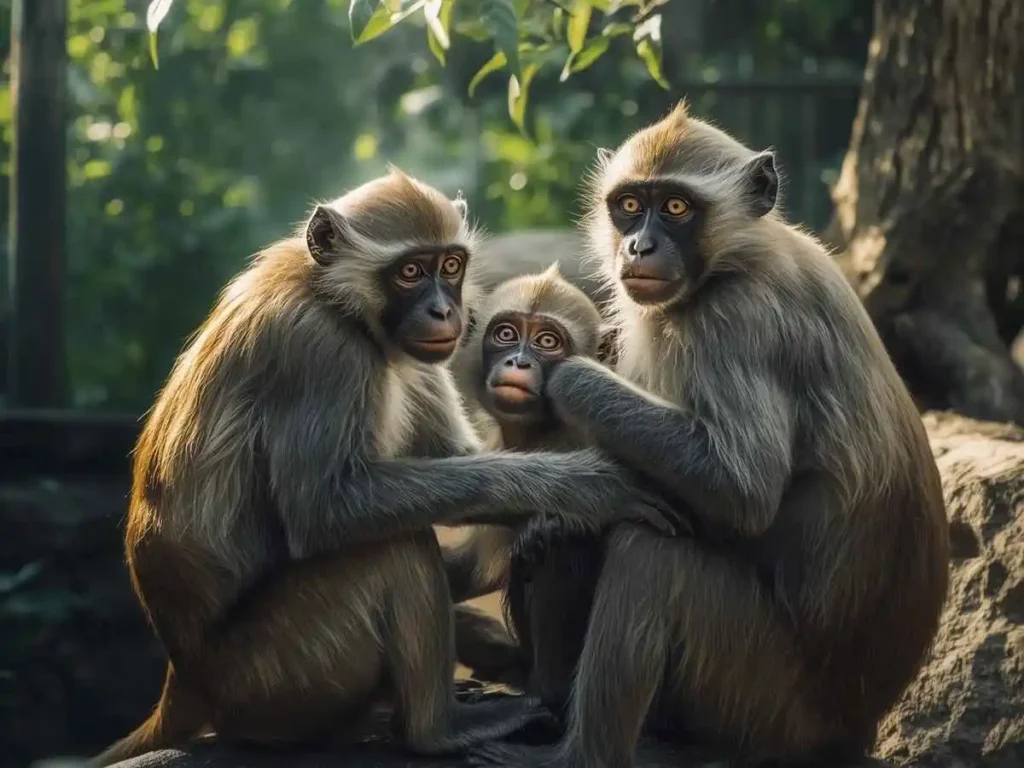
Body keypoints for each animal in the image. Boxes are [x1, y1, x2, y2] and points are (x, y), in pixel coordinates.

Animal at [92, 168, 679, 766]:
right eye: (410, 272)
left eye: (450, 266)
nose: (444, 311)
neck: (331, 295)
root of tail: (186, 676)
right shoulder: (317, 347)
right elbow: (324, 510)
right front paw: (579, 489)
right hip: (273, 675)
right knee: (391, 548)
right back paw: (437, 729)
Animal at [468, 102, 950, 768]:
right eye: (629, 205)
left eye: (675, 207)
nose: (639, 245)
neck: (737, 258)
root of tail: (853, 730)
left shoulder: (732, 318)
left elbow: (741, 491)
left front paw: (562, 381)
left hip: (766, 704)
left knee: (651, 553)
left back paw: (580, 748)